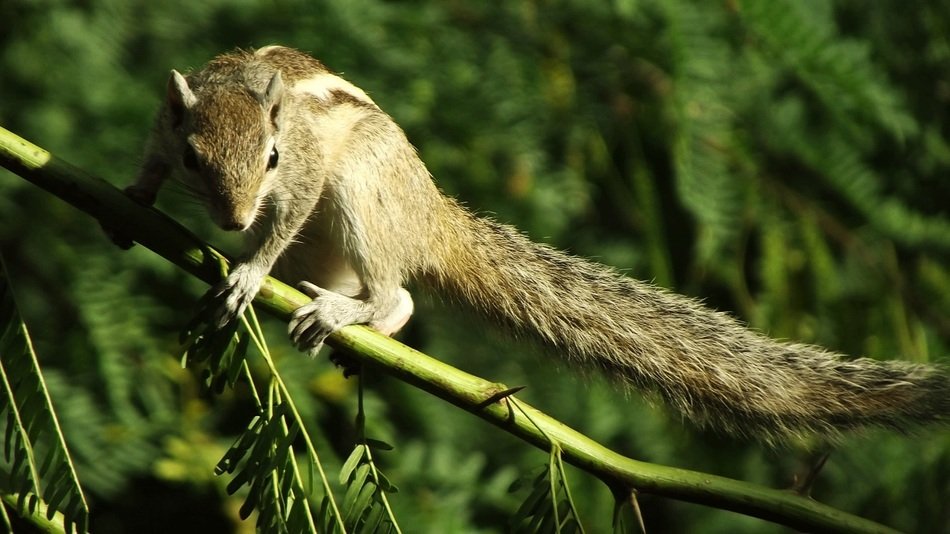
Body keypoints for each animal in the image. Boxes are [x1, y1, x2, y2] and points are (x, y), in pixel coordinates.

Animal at [125, 45, 949, 444]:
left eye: (269, 157)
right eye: (196, 158)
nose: (233, 223)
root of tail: (435, 217)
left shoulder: (300, 178)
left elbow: (286, 219)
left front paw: (248, 273)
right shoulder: (162, 130)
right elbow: (148, 164)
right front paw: (130, 205)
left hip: (362, 192)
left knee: (397, 297)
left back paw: (349, 315)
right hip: (329, 247)